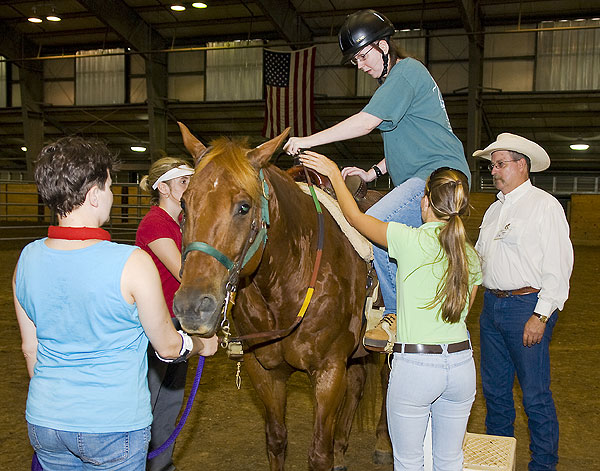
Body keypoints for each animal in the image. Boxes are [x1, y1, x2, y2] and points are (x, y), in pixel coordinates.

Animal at [171, 123, 392, 470]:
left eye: (244, 206)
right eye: (183, 203)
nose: (193, 306)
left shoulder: (328, 372)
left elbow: (319, 454)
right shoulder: (263, 371)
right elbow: (276, 441)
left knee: (385, 380)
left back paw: (383, 443)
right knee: (357, 384)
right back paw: (343, 449)